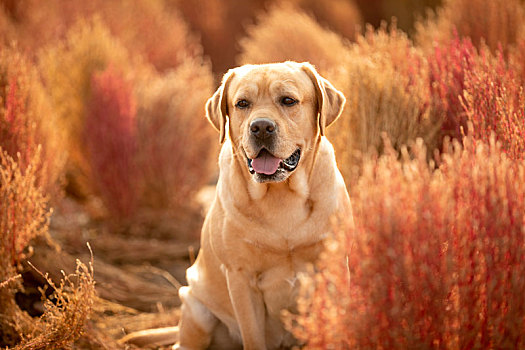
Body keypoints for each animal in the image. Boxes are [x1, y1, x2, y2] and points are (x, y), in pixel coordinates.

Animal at [120, 63, 352, 350]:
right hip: (197, 307)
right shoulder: (241, 278)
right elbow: (253, 335)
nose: (261, 127)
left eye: (288, 100)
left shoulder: (333, 267)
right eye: (242, 103)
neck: (281, 196)